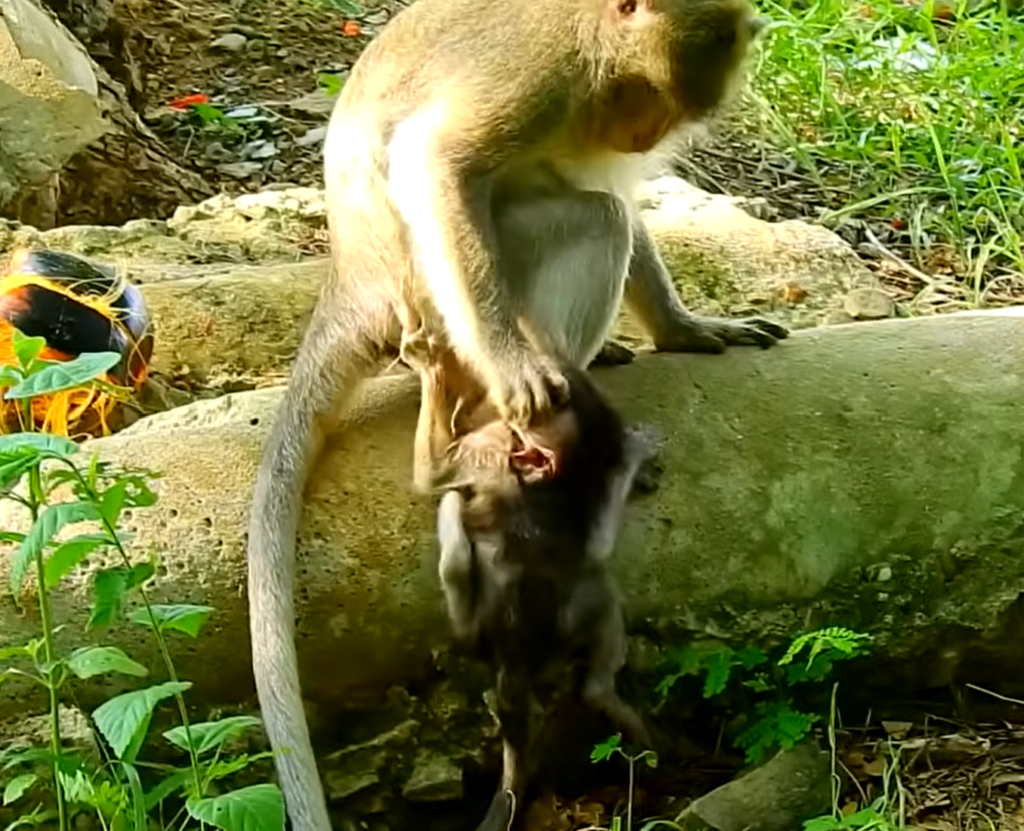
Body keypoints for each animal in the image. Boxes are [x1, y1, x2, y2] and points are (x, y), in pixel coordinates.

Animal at [398, 323, 654, 831]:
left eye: (557, 395)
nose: (540, 361)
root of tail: (515, 663)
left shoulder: (484, 452)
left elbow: (432, 474)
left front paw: (431, 366)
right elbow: (596, 539)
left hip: (509, 625)